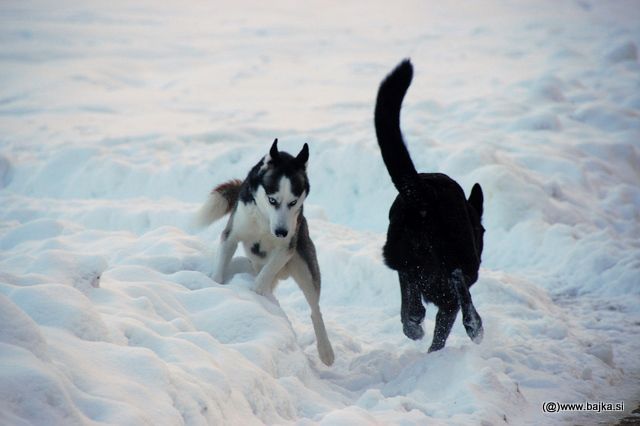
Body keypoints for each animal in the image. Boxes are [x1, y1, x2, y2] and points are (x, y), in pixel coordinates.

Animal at [195, 141, 336, 366]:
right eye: (272, 200)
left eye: (293, 202)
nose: (281, 232)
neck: (265, 220)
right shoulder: (231, 235)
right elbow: (220, 267)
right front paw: (215, 285)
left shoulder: (286, 249)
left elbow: (264, 276)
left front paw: (255, 293)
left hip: (304, 265)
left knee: (315, 310)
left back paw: (326, 351)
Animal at [376, 60, 484, 352]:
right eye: (483, 233)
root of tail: (422, 192)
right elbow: (442, 330)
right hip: (461, 258)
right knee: (457, 280)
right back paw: (474, 325)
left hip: (398, 252)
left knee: (411, 299)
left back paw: (413, 323)